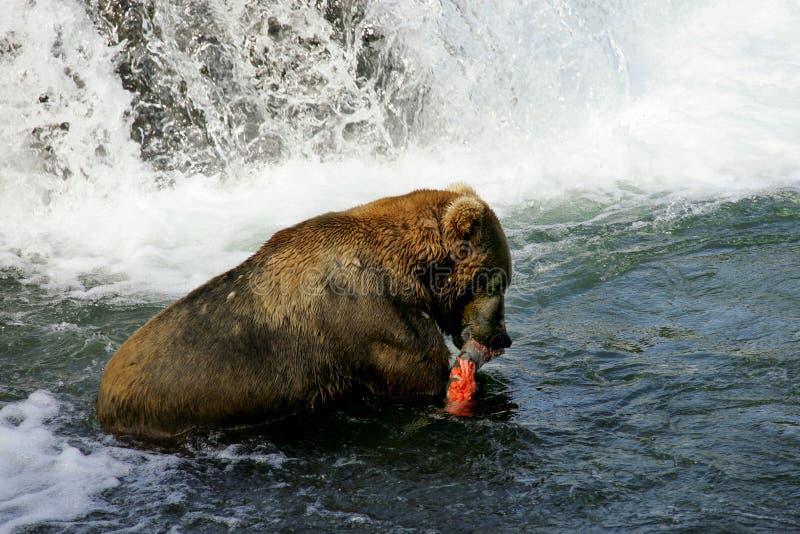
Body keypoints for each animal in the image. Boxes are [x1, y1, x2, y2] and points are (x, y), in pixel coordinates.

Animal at [97, 184, 510, 440]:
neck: (412, 273)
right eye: (499, 281)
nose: (502, 337)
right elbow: (418, 375)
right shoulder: (376, 322)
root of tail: (101, 401)